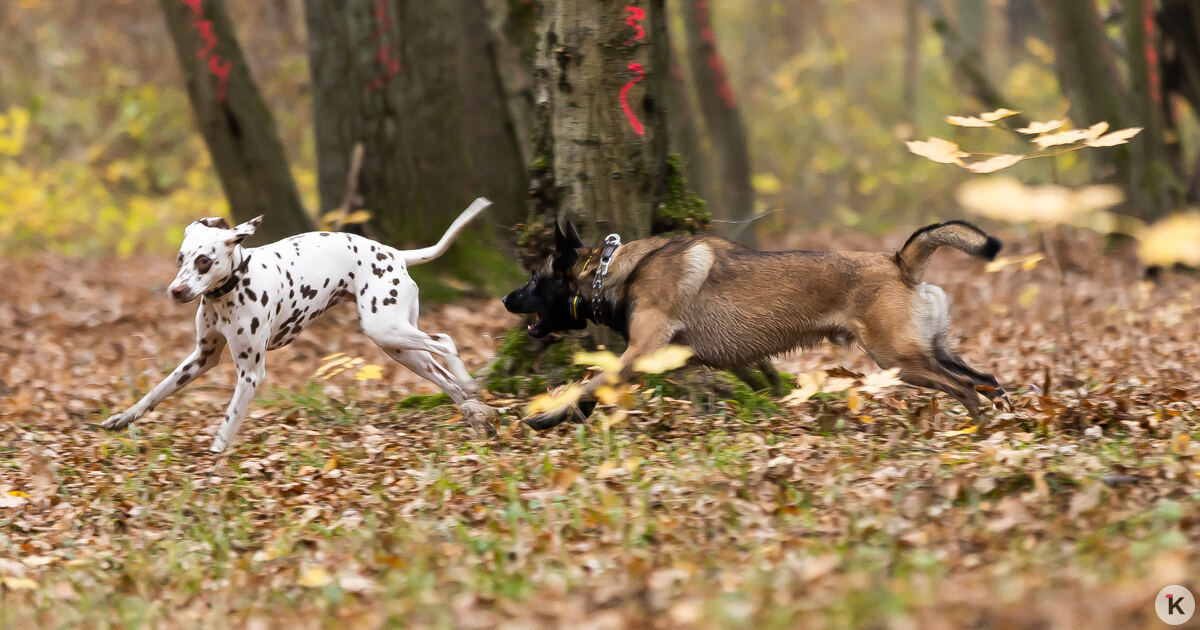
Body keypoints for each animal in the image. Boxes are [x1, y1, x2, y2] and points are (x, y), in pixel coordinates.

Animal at [102, 198, 497, 452]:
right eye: (181, 257)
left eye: (203, 261)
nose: (176, 291)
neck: (230, 289)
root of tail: (396, 254)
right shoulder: (201, 358)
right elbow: (156, 391)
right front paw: (123, 417)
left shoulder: (250, 373)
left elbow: (229, 420)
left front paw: (215, 457)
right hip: (399, 347)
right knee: (443, 376)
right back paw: (475, 412)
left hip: (385, 329)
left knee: (445, 340)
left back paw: (469, 388)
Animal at [502, 220, 1006, 429]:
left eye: (534, 278)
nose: (506, 299)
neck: (613, 270)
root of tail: (899, 261)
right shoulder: (726, 360)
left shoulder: (641, 349)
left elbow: (591, 382)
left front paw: (549, 417)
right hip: (929, 352)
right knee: (986, 379)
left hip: (900, 359)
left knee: (965, 389)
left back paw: (974, 431)